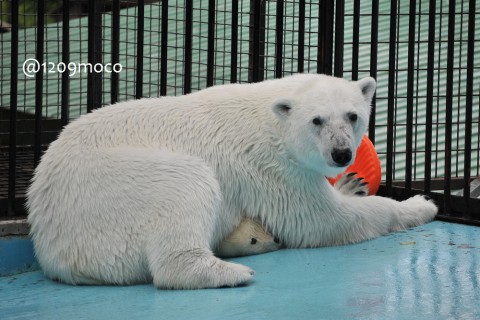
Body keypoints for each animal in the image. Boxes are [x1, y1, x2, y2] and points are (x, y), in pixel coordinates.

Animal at [27, 74, 438, 288]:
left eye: (352, 115)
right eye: (317, 120)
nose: (341, 154)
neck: (271, 118)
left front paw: (351, 184)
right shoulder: (269, 167)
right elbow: (321, 221)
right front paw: (420, 205)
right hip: (114, 186)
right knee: (186, 184)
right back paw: (230, 272)